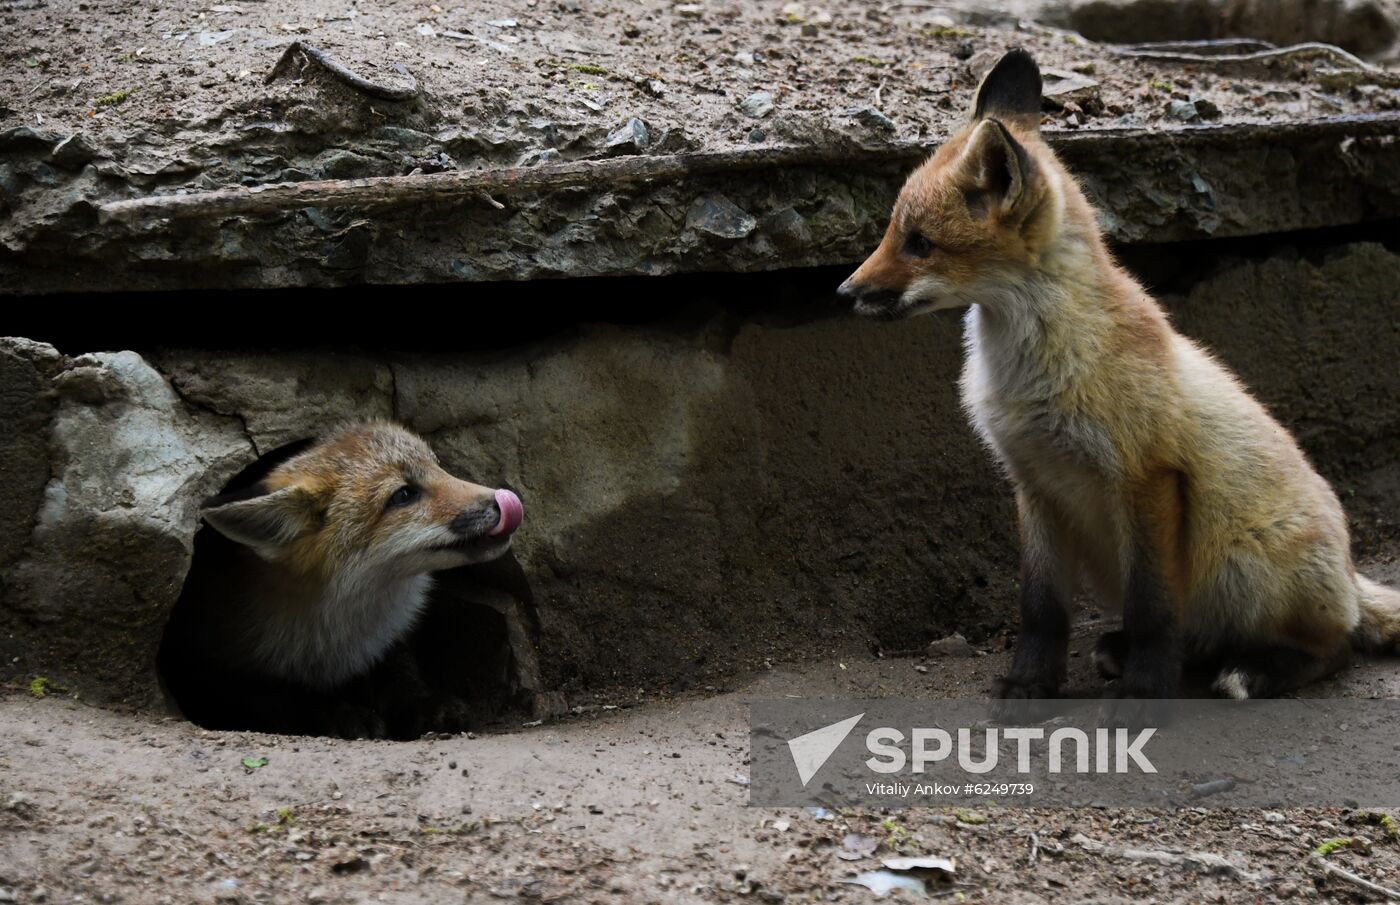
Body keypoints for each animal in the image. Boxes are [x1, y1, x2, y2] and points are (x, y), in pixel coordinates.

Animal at [158, 421, 525, 739]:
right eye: (403, 495)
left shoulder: (386, 644)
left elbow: (400, 674)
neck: (333, 634)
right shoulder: (206, 669)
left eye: (439, 467)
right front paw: (335, 714)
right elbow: (279, 699)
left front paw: (420, 703)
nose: (503, 500)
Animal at [838, 48, 1400, 716]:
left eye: (920, 243)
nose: (843, 292)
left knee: (1334, 649)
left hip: (1242, 567)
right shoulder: (1034, 484)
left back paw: (1253, 670)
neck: (1032, 375)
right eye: (892, 233)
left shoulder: (1146, 477)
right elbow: (1040, 609)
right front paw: (1030, 684)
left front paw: (1144, 695)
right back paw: (1129, 651)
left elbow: (1154, 609)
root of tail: (1349, 571)